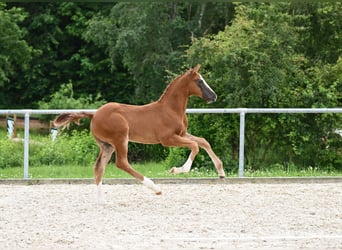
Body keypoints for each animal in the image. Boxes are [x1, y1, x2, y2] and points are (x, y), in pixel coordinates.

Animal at [54, 64, 224, 201]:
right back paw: (155, 188)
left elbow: (203, 141)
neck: (170, 109)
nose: (214, 96)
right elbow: (195, 146)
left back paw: (102, 200)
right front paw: (176, 170)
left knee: (99, 167)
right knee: (121, 163)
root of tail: (94, 114)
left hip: (107, 145)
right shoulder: (168, 139)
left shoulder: (182, 134)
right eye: (199, 81)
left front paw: (221, 172)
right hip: (120, 138)